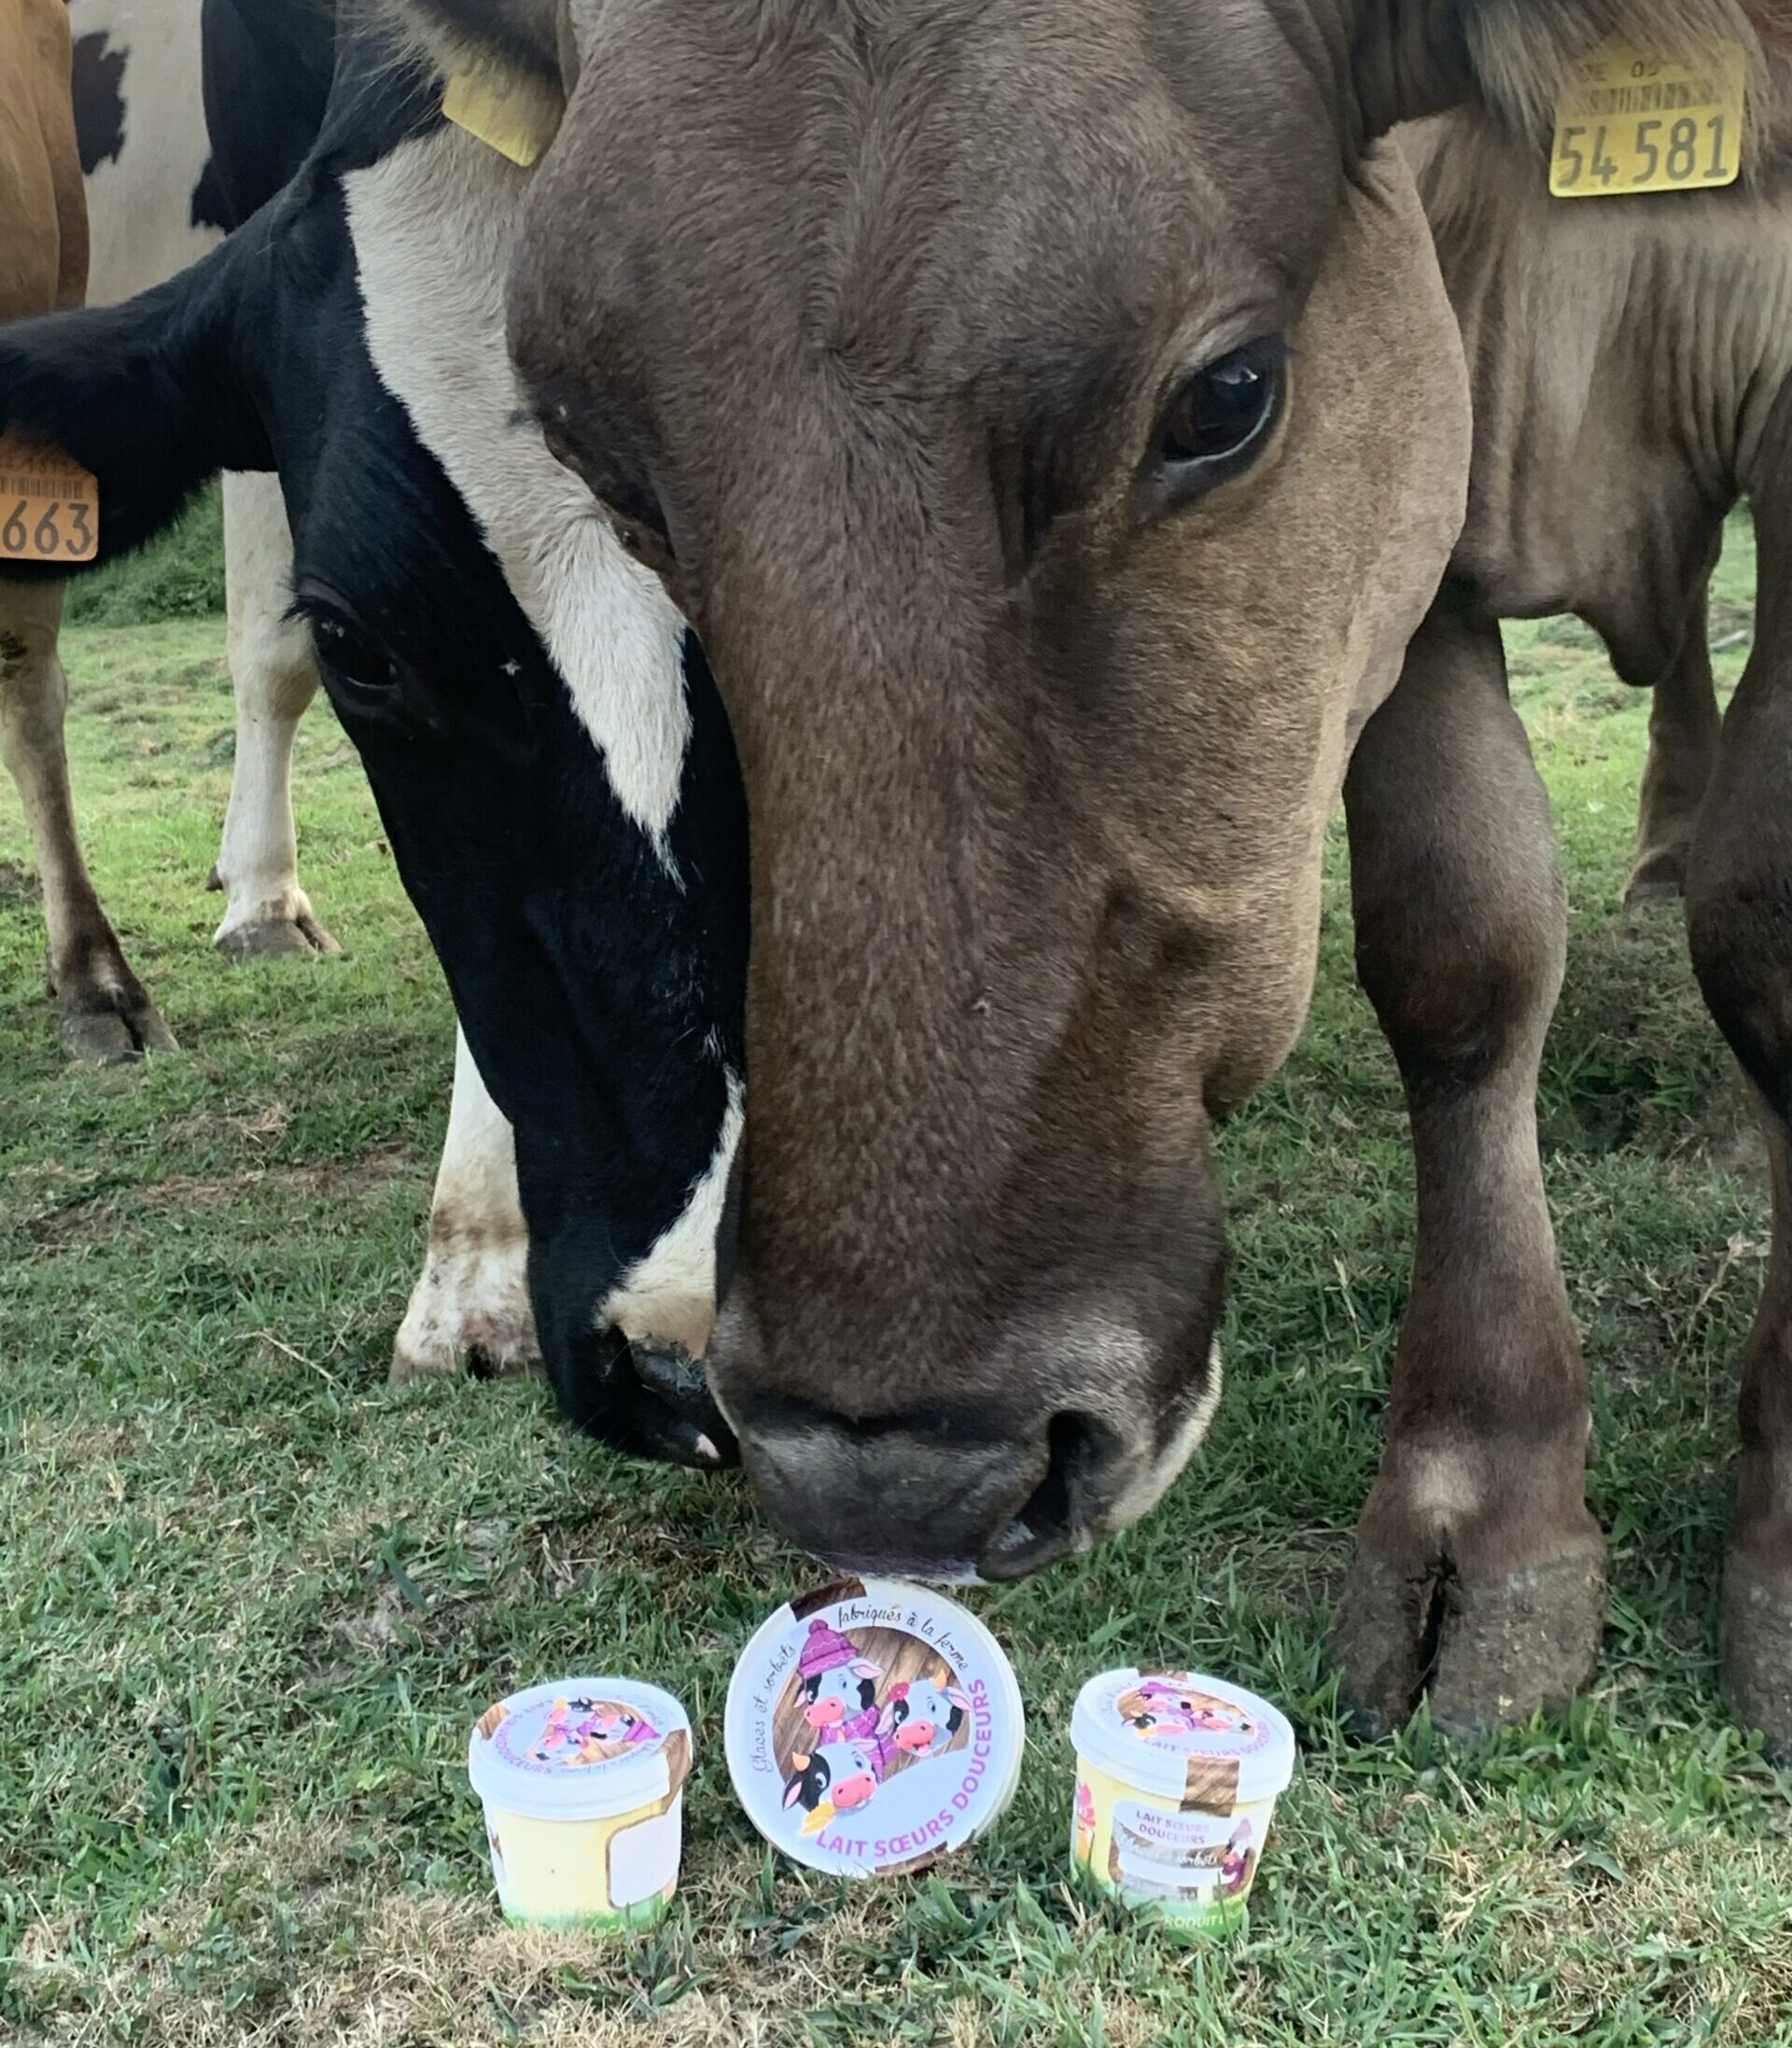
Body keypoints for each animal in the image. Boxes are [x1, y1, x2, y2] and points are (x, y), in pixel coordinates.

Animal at [374, 0, 1792, 1752]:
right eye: (597, 454)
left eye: (1224, 395)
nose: (892, 1474)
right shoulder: (1429, 468)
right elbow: (1457, 944)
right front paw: (1485, 1504)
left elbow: (1762, 917)